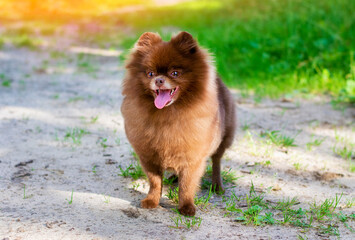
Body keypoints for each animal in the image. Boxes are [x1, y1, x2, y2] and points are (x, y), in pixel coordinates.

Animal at [121, 31, 236, 217]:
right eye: (150, 73)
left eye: (175, 73)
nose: (159, 80)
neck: (168, 115)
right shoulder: (148, 155)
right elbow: (155, 182)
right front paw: (152, 201)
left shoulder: (193, 157)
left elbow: (187, 185)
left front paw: (186, 207)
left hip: (224, 139)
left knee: (216, 162)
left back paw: (217, 186)